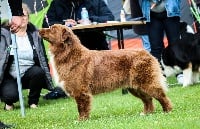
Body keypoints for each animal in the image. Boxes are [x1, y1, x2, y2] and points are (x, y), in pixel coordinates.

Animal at [38, 24, 172, 121]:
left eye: (52, 28)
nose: (39, 30)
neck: (69, 53)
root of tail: (147, 53)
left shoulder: (80, 91)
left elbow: (81, 107)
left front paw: (81, 120)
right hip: (135, 87)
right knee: (148, 99)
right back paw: (146, 113)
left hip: (146, 82)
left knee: (160, 95)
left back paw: (167, 110)